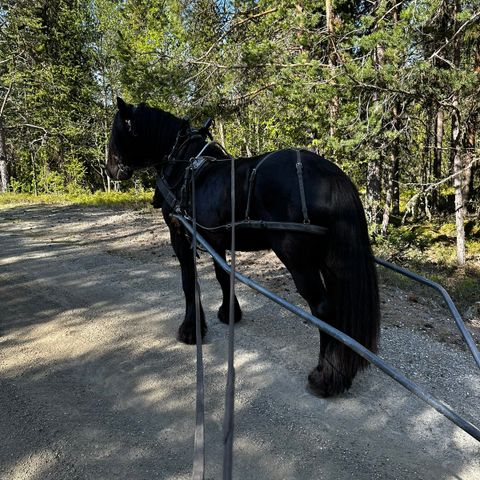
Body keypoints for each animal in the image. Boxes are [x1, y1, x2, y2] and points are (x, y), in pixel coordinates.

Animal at [107, 97, 380, 398]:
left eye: (115, 132)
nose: (111, 169)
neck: (185, 166)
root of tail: (330, 175)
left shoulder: (180, 235)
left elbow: (189, 281)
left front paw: (191, 330)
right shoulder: (216, 240)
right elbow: (223, 276)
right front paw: (230, 314)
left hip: (297, 259)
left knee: (323, 309)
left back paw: (325, 377)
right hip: (328, 261)